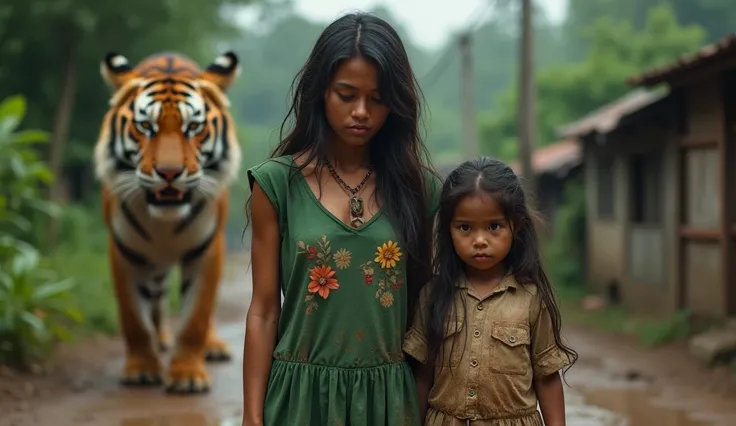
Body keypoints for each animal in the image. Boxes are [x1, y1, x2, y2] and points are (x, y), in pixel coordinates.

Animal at [93, 51, 243, 394]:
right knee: (157, 298)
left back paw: (213, 346)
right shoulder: (124, 252)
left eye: (194, 127)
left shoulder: (206, 250)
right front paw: (141, 369)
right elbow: (134, 318)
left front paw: (187, 375)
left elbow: (195, 318)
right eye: (146, 126)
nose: (170, 173)